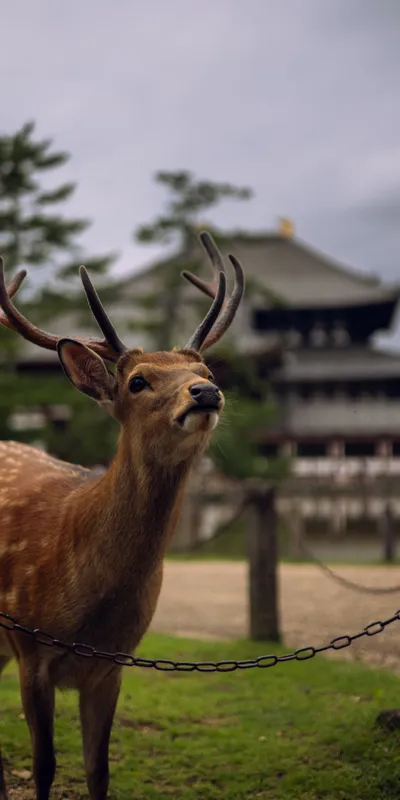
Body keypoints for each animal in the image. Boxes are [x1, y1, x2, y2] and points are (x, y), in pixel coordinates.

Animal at [0, 231, 244, 800]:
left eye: (206, 372)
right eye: (137, 381)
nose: (206, 392)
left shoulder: (112, 665)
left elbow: (98, 771)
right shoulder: (30, 650)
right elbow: (44, 765)